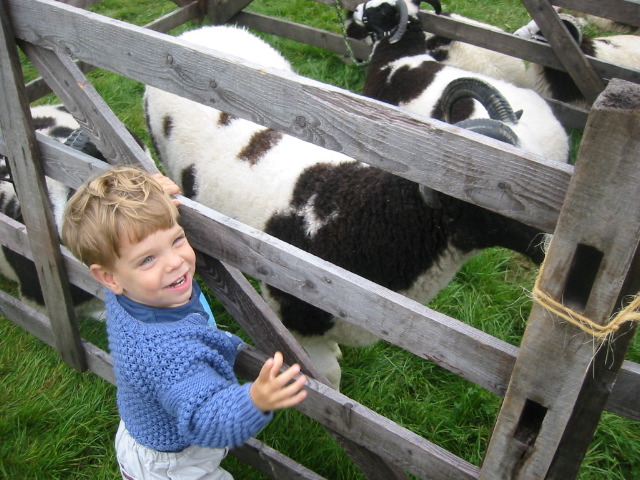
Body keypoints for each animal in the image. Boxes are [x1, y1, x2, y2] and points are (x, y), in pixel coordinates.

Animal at [145, 24, 556, 388]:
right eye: (501, 197)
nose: (554, 251)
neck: (361, 215)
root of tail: (197, 32)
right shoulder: (297, 316)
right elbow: (329, 381)